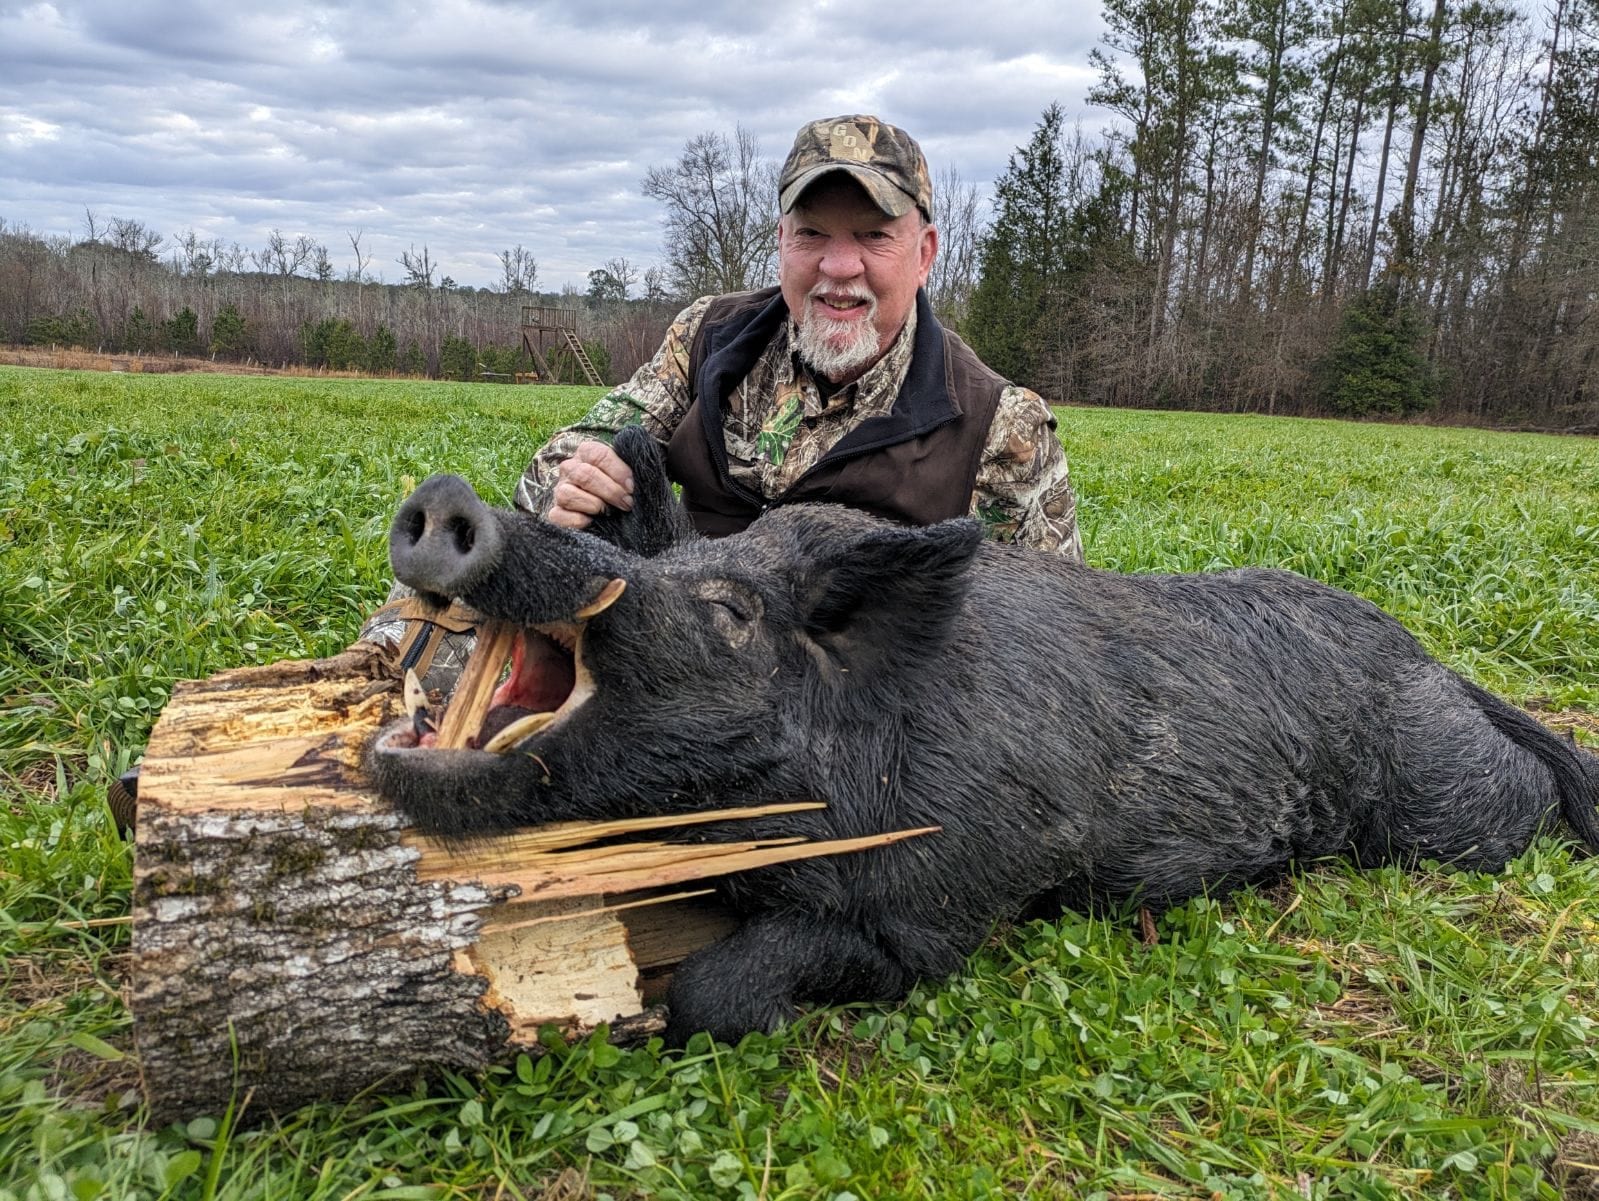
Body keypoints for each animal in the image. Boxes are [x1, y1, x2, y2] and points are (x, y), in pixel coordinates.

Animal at [369, 427, 1599, 1047]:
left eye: (727, 609)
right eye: (677, 566)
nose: (446, 499)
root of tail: (1436, 663)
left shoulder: (944, 905)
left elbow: (724, 989)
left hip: (1449, 806)